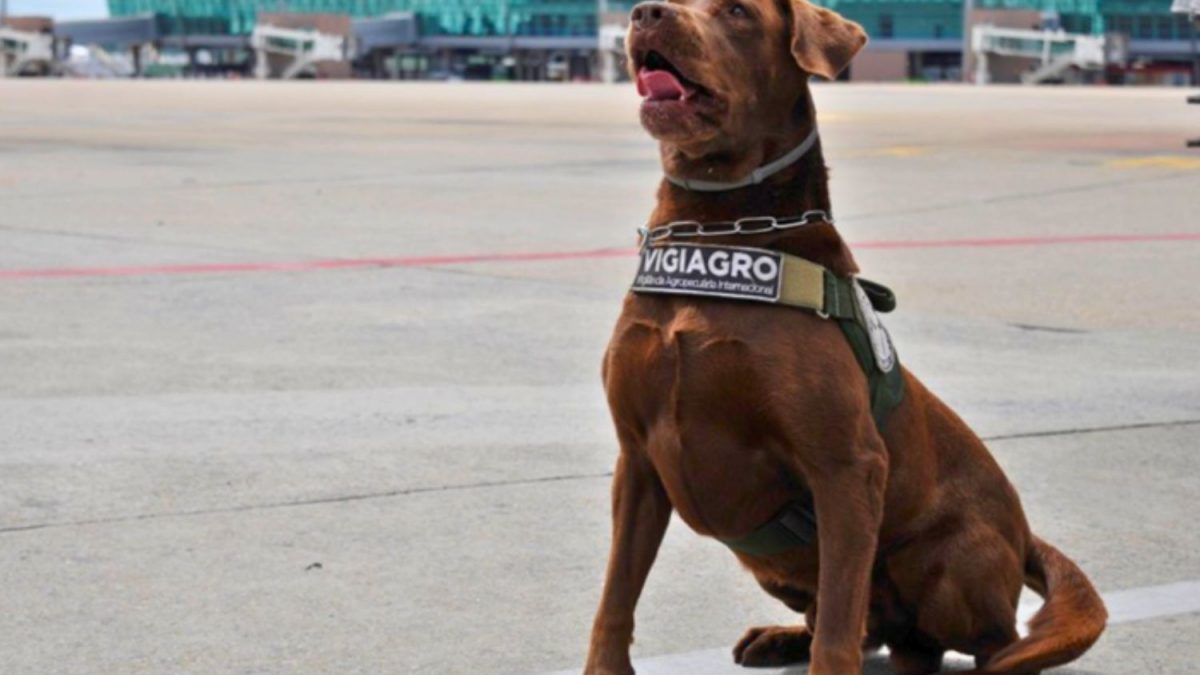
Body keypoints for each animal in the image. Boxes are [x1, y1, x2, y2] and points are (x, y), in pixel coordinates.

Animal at [580, 1, 1104, 672]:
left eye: (738, 12)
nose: (646, 15)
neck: (720, 229)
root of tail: (1024, 535)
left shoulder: (847, 468)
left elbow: (838, 618)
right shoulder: (639, 461)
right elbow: (616, 596)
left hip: (946, 558)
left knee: (982, 641)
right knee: (880, 631)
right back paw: (781, 636)